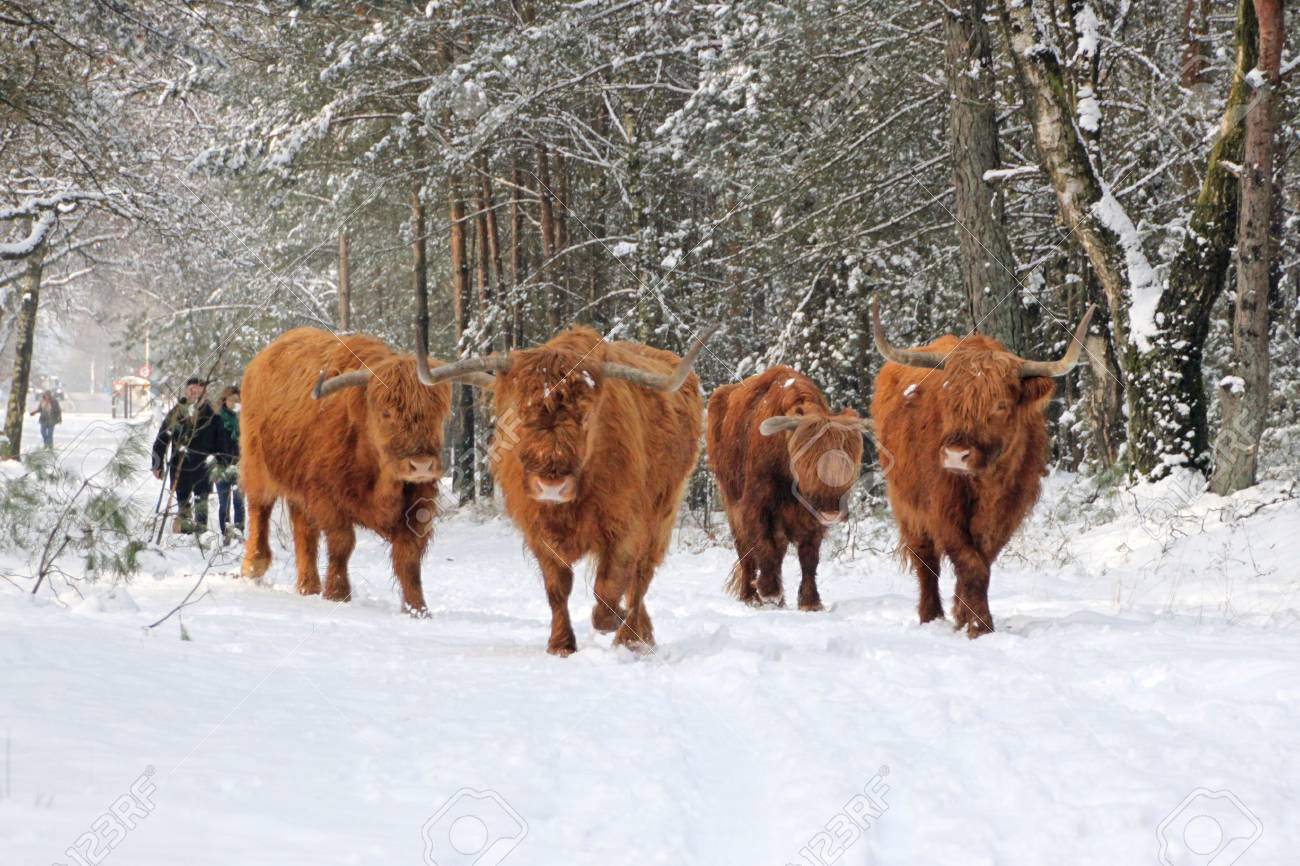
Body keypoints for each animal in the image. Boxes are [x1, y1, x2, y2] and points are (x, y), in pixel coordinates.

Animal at [239, 328, 482, 614]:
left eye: (438, 413)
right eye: (386, 413)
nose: (421, 464)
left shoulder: (419, 502)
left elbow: (409, 556)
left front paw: (417, 608)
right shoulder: (326, 496)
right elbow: (343, 543)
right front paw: (338, 594)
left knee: (304, 531)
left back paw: (308, 587)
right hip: (257, 464)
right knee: (260, 509)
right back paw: (254, 565)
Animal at [414, 324, 711, 655]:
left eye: (587, 416)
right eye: (520, 413)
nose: (551, 485)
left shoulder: (626, 526)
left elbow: (609, 587)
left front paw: (616, 621)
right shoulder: (538, 531)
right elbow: (557, 588)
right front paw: (560, 644)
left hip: (662, 515)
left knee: (641, 577)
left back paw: (634, 638)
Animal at [707, 366, 868, 611]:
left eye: (848, 465)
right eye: (804, 462)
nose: (831, 512)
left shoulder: (810, 517)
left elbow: (809, 558)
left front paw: (811, 602)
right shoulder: (756, 506)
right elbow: (763, 545)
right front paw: (769, 591)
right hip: (730, 500)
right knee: (745, 550)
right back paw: (751, 596)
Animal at [869, 298, 1096, 637]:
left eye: (1000, 405)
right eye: (949, 398)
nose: (955, 455)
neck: (987, 482)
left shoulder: (1008, 511)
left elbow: (982, 561)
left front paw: (968, 618)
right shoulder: (942, 509)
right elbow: (969, 562)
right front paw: (980, 626)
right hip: (905, 504)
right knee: (926, 560)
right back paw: (930, 616)